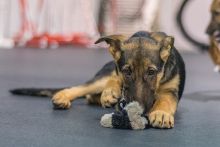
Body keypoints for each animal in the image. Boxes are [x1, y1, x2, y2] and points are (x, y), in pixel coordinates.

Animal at [10, 31, 186, 129]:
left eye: (151, 72)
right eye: (127, 72)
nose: (139, 110)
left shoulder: (170, 91)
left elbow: (165, 100)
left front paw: (161, 113)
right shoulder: (118, 73)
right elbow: (116, 81)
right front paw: (110, 93)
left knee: (89, 95)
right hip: (102, 77)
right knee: (83, 87)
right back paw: (65, 96)